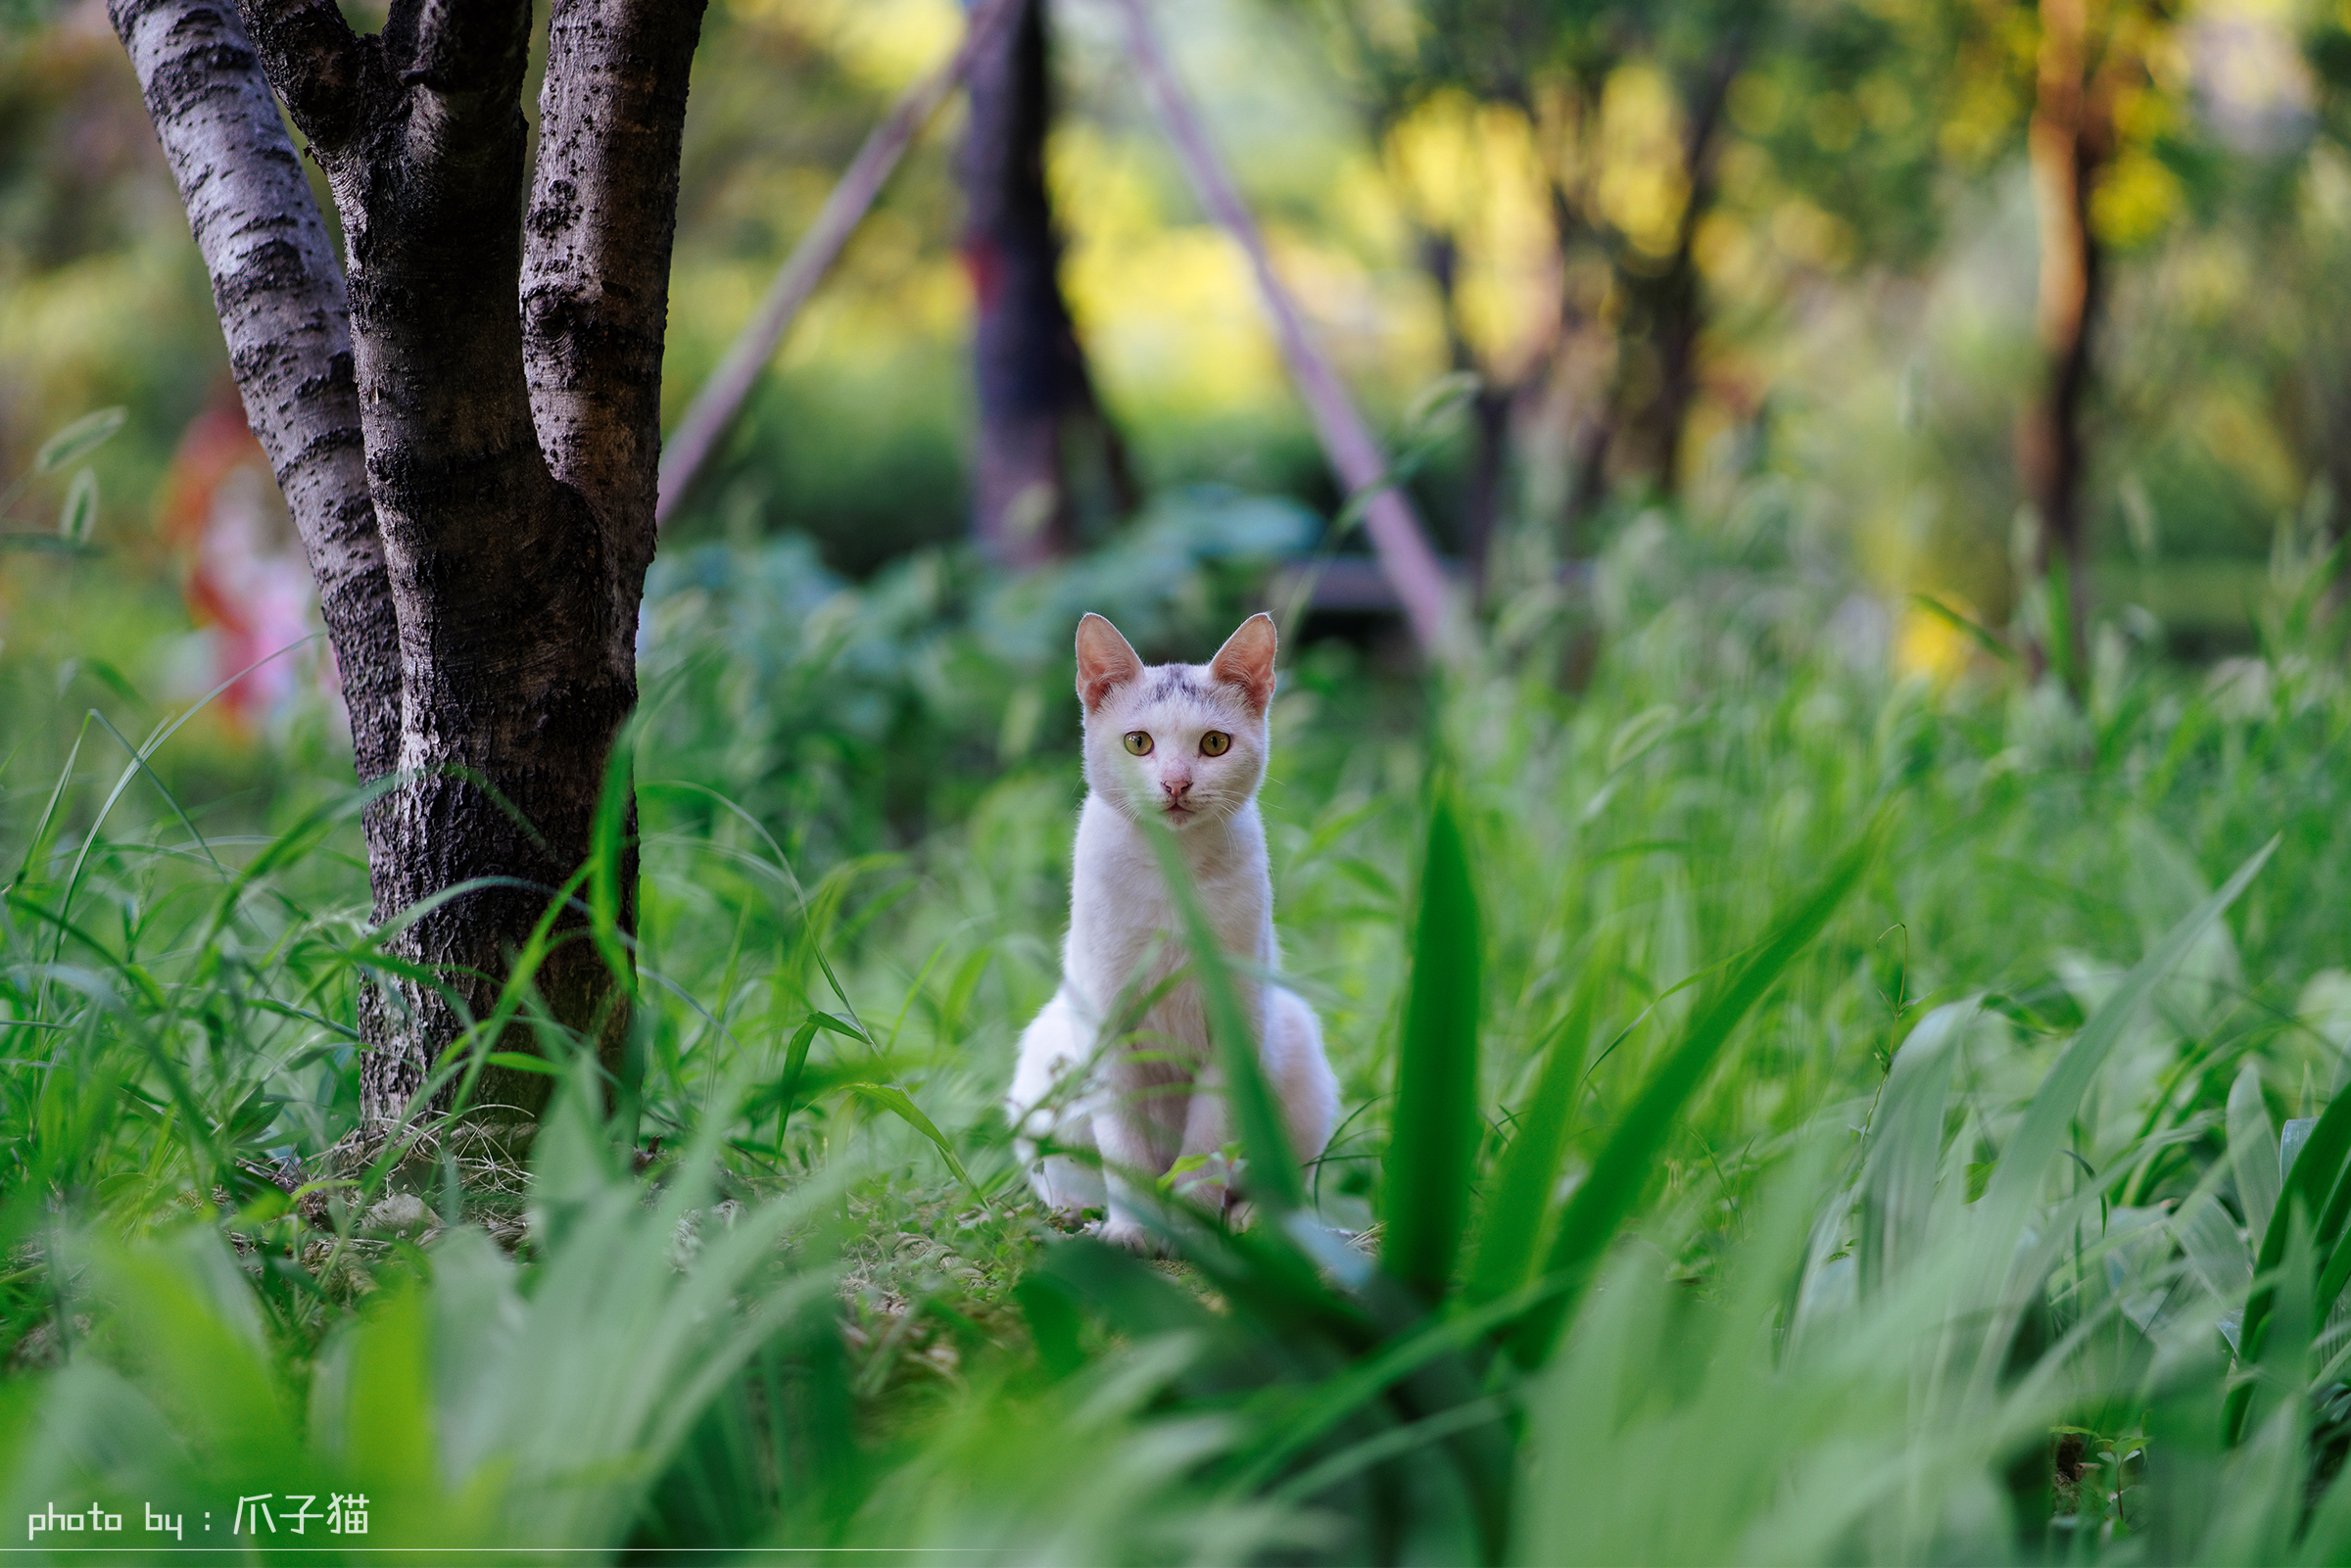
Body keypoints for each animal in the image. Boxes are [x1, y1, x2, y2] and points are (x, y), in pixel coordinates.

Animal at [1011, 611, 1344, 1250]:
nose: (1175, 783)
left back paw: (1252, 1219)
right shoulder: (1106, 1031)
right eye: (1137, 742)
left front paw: (1196, 1229)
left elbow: (1208, 1146)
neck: (1175, 877)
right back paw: (1079, 1218)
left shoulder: (1237, 1027)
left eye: (1214, 743)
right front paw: (1132, 1230)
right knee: (1064, 1181)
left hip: (1298, 1053)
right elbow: (1126, 1151)